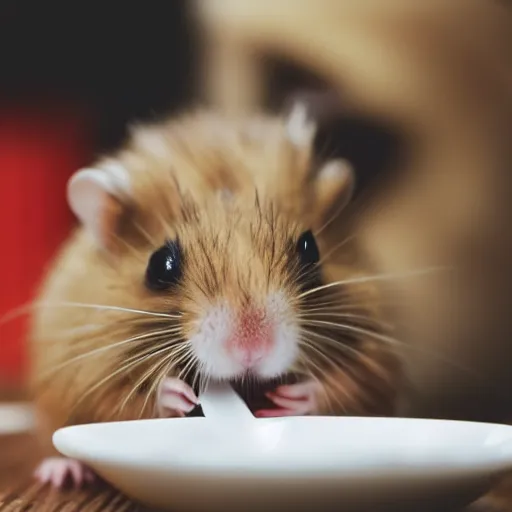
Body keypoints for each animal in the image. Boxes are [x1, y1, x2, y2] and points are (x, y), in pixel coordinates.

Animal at [30, 103, 402, 488]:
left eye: (310, 250)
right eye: (160, 266)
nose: (252, 350)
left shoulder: (376, 357)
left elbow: (349, 385)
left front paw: (290, 398)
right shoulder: (84, 369)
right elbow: (122, 399)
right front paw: (177, 394)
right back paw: (62, 473)